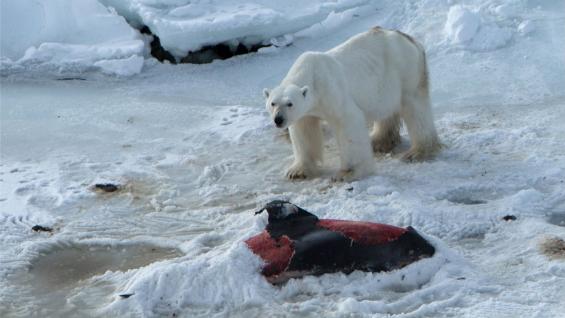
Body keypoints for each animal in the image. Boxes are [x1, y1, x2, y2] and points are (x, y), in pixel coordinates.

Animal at [264, 27, 440, 181]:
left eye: (289, 103)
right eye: (273, 103)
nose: (278, 119)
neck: (311, 74)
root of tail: (409, 38)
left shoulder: (331, 92)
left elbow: (348, 121)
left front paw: (347, 173)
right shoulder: (306, 112)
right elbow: (304, 131)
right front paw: (296, 171)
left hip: (406, 72)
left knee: (416, 108)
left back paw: (417, 151)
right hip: (384, 84)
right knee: (386, 110)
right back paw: (378, 141)